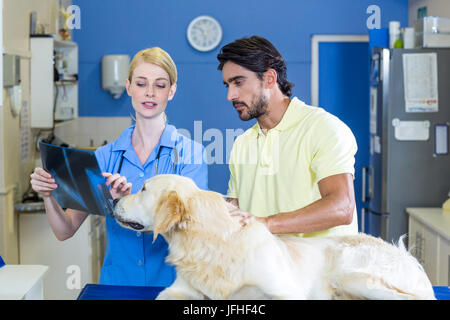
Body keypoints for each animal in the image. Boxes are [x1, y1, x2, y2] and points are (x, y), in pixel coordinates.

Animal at [112, 172, 436, 300]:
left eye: (144, 188)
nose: (114, 198)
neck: (209, 243)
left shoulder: (286, 291)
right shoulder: (178, 290)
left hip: (351, 273)